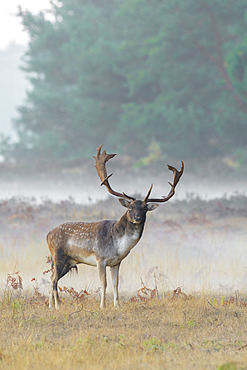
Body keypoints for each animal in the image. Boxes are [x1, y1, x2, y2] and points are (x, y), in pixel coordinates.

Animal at [47, 145, 183, 310]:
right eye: (130, 207)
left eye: (145, 209)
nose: (137, 218)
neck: (118, 245)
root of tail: (48, 235)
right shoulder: (100, 258)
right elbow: (104, 283)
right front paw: (102, 306)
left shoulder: (116, 262)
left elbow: (115, 283)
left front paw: (116, 305)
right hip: (58, 255)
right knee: (54, 279)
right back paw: (57, 306)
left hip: (68, 262)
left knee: (51, 277)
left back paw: (50, 306)